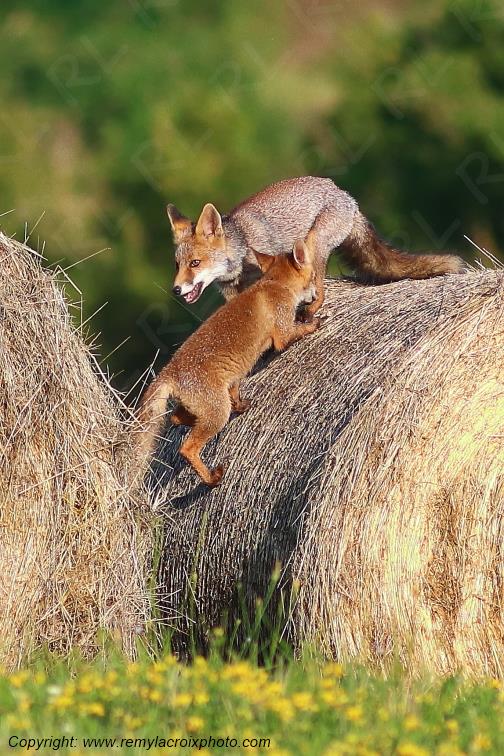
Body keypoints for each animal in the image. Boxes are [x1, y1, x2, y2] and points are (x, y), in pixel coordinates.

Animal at [137, 238, 319, 487]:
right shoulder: (282, 334)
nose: (317, 295)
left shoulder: (234, 377)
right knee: (187, 448)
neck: (274, 284)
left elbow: (236, 392)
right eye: (313, 276)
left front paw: (241, 406)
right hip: (217, 413)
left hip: (204, 407)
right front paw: (314, 323)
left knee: (175, 417)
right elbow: (295, 333)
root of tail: (170, 370)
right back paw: (212, 479)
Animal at [167, 176, 465, 319]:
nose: (176, 290)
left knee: (320, 291)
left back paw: (310, 310)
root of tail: (344, 194)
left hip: (311, 247)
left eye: (195, 263)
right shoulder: (232, 294)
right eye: (178, 265)